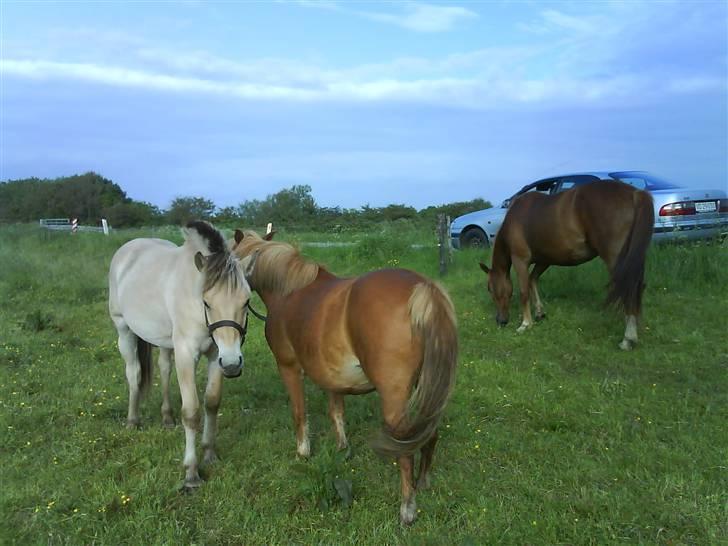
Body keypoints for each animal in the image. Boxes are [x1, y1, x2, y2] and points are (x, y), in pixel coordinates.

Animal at [106, 219, 258, 486]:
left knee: (165, 370)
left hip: (166, 343)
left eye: (247, 302)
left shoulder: (216, 355)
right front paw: (191, 473)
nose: (232, 364)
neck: (193, 296)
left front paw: (209, 453)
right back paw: (133, 421)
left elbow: (212, 403)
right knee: (134, 374)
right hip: (124, 330)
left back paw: (167, 417)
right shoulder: (187, 353)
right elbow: (191, 412)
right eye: (207, 302)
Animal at [233, 228, 458, 524]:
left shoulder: (289, 367)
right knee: (428, 435)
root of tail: (423, 289)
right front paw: (343, 451)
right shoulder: (331, 377)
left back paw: (407, 509)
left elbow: (299, 412)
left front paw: (303, 453)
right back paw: (423, 483)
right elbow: (336, 413)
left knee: (406, 450)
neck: (288, 289)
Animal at [478, 180, 656, 348]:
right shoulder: (544, 260)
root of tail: (635, 193)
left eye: (490, 289)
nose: (500, 321)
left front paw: (525, 324)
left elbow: (523, 291)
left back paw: (628, 338)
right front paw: (539, 312)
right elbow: (532, 280)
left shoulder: (520, 260)